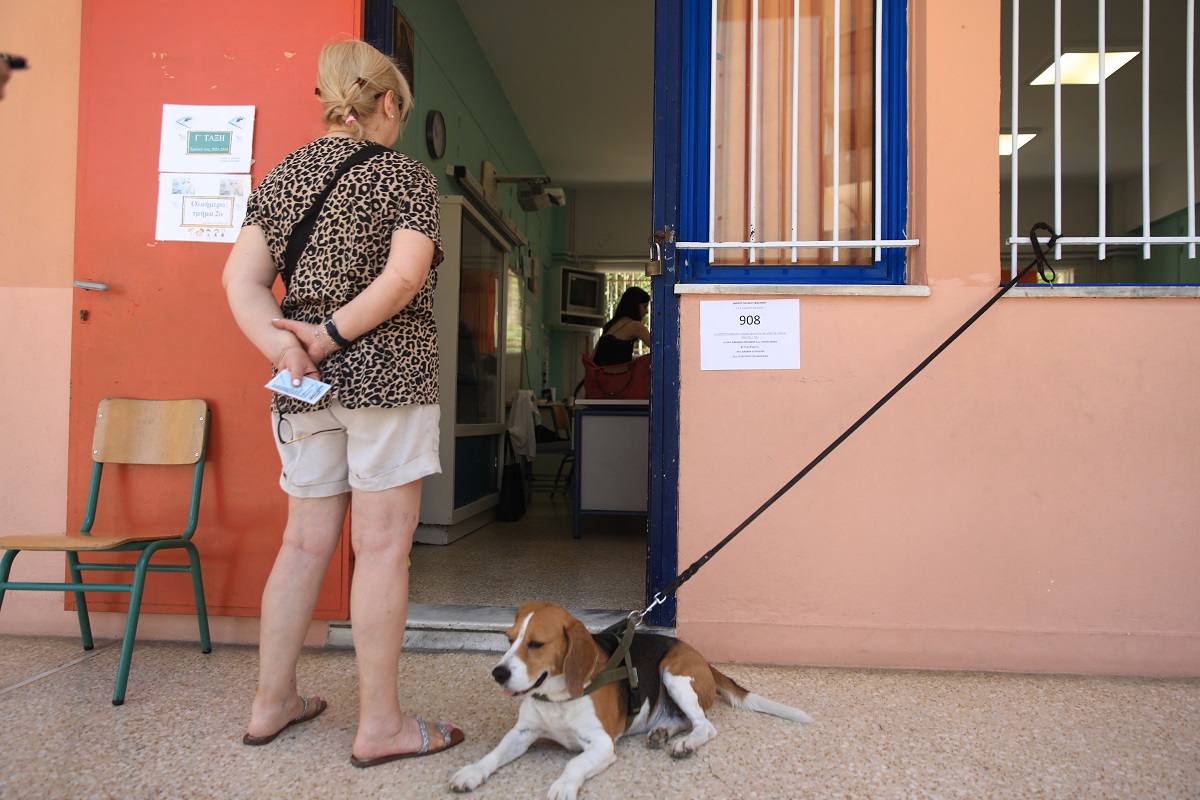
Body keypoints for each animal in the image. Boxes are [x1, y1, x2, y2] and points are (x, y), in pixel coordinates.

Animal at [451, 599, 816, 800]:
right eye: (508, 639)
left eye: (536, 644)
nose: (498, 673)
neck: (557, 698)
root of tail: (699, 657)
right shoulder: (522, 733)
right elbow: (493, 755)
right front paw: (470, 772)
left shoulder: (602, 744)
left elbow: (574, 763)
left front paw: (563, 786)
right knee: (680, 719)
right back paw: (662, 732)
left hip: (673, 674)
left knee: (705, 726)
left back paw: (685, 743)